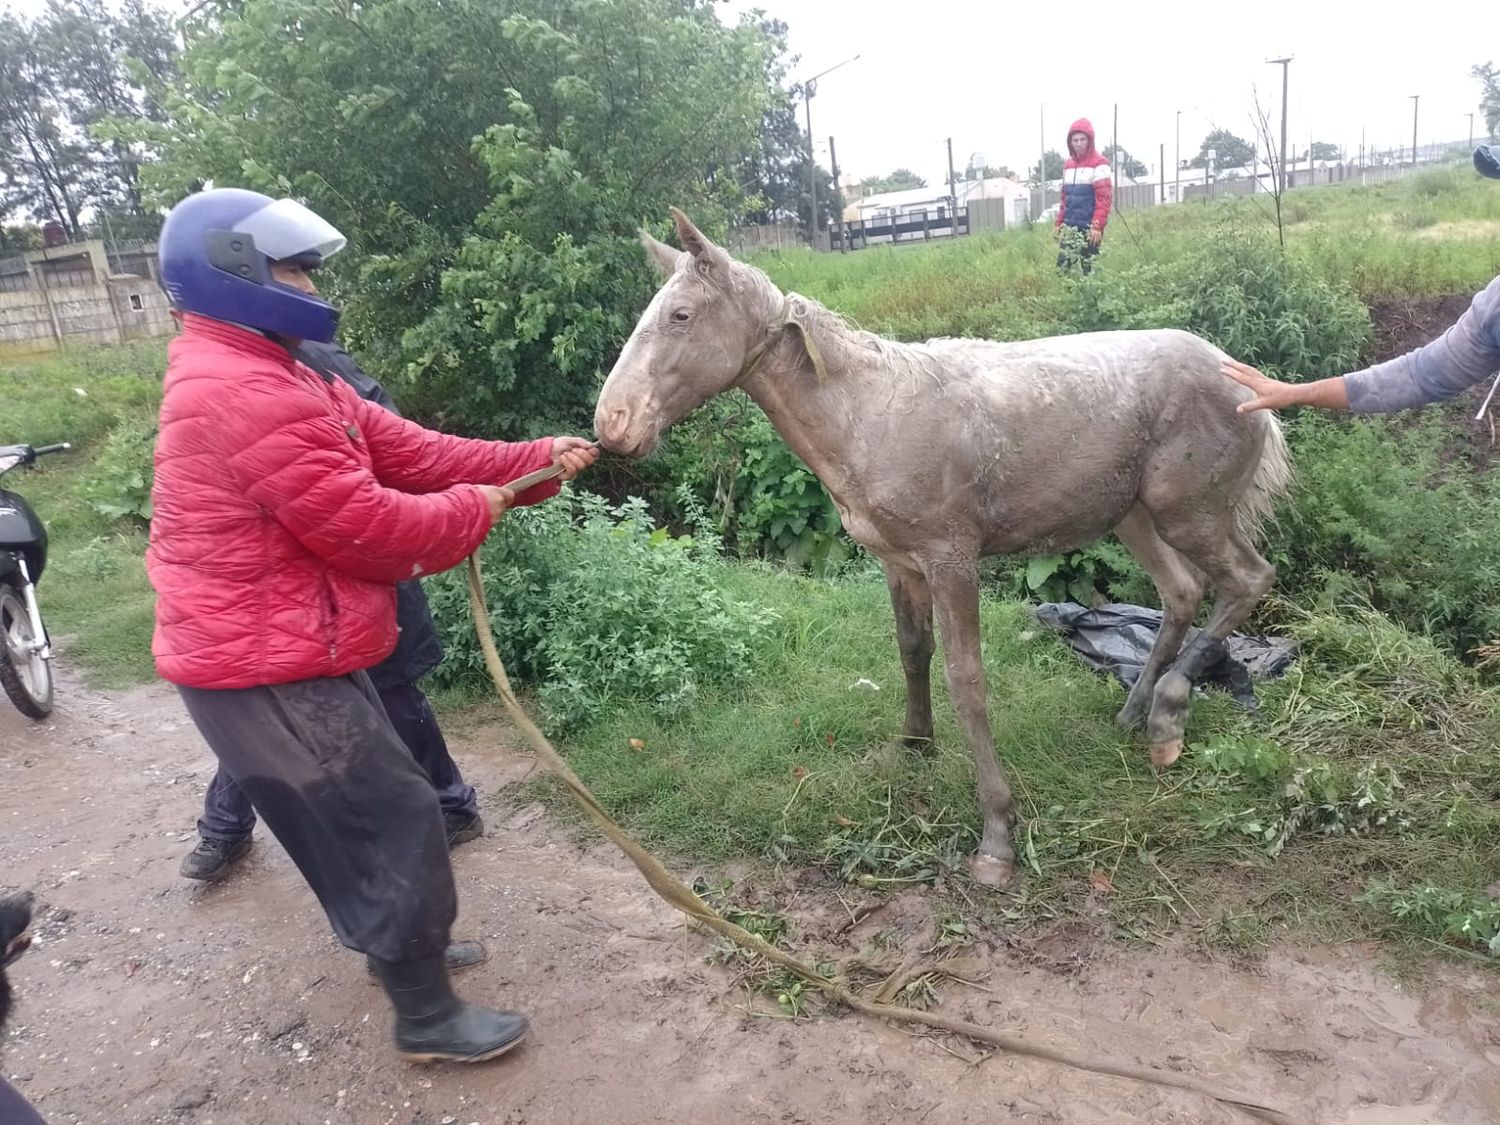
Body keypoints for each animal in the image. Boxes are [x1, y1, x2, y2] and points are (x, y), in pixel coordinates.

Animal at [594, 207, 1290, 888]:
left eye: (681, 315)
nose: (612, 424)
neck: (868, 416)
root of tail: (1249, 383)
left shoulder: (951, 557)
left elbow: (966, 677)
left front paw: (997, 837)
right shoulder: (899, 562)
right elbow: (912, 652)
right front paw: (913, 747)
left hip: (1188, 513)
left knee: (1247, 580)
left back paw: (1168, 715)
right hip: (1136, 517)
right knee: (1183, 591)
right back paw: (1133, 713)